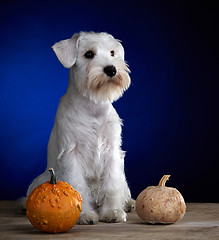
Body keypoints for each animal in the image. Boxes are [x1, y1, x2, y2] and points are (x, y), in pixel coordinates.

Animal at [25, 31, 133, 224]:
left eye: (112, 52)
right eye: (89, 54)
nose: (111, 69)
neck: (93, 107)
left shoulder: (112, 150)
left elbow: (112, 184)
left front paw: (112, 212)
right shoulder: (72, 152)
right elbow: (78, 185)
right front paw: (84, 215)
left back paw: (128, 203)